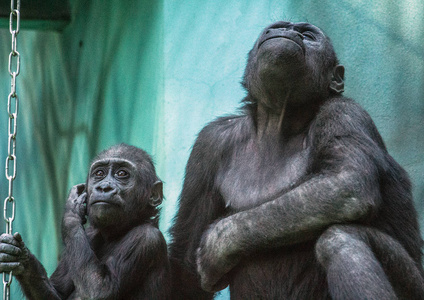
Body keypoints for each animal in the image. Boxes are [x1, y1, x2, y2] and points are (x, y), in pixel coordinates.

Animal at [0, 144, 170, 298]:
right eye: (99, 173)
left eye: (122, 173)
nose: (104, 187)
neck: (118, 232)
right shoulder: (86, 235)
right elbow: (57, 294)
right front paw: (19, 256)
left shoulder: (146, 239)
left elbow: (99, 288)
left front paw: (71, 211)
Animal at [169, 21, 424, 300]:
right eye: (277, 27)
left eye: (308, 35)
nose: (289, 32)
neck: (278, 124)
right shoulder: (209, 143)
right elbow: (186, 258)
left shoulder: (344, 113)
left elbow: (348, 181)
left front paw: (219, 241)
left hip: (414, 287)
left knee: (342, 238)